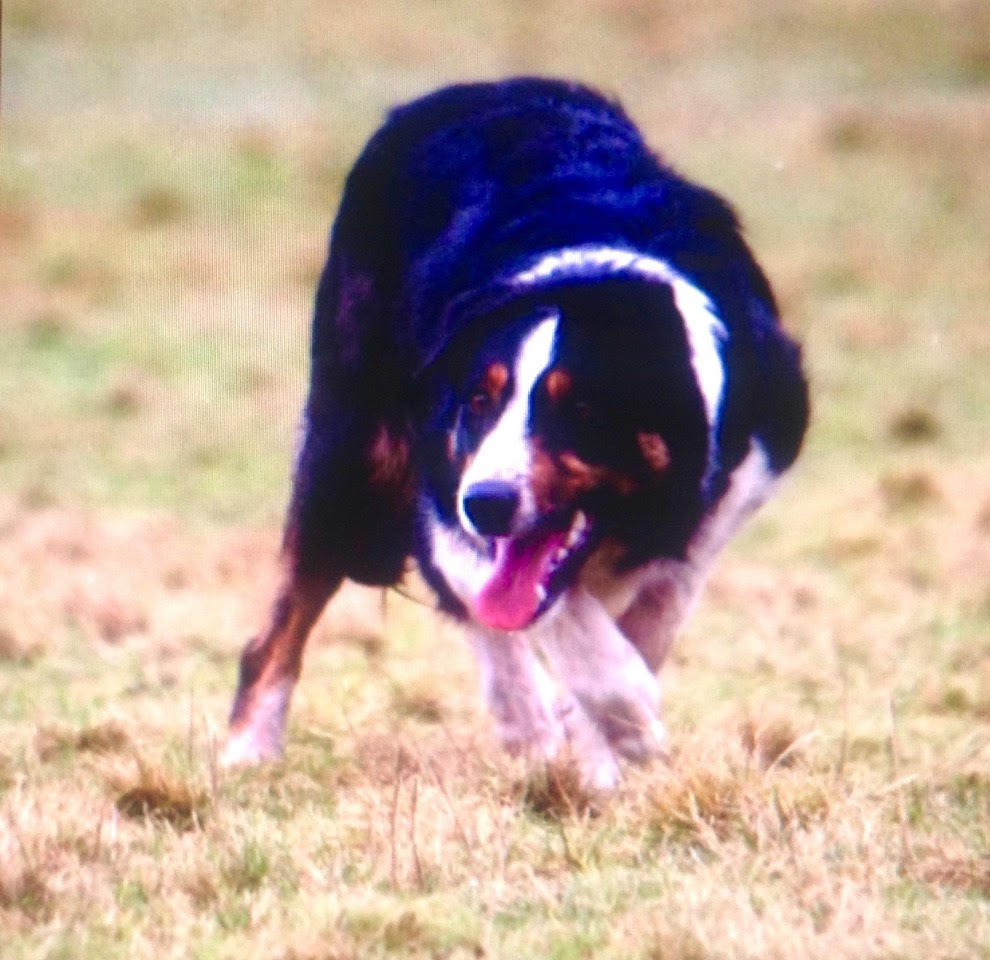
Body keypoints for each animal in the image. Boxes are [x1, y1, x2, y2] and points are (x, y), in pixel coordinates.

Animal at [223, 78, 808, 788]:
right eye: (480, 400)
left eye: (580, 408)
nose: (488, 504)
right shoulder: (441, 476)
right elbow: (549, 612)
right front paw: (628, 717)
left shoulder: (738, 477)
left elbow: (656, 608)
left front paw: (602, 753)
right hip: (351, 451)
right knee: (284, 626)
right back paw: (248, 752)